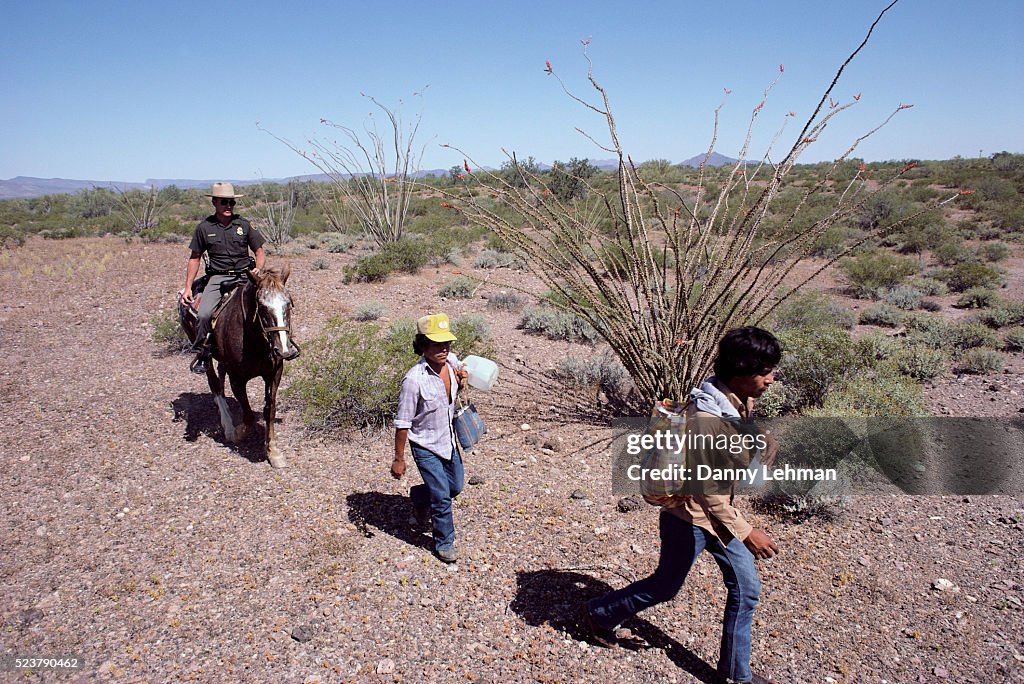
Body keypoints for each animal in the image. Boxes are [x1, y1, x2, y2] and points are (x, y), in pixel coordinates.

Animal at [180, 264, 299, 466]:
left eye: (288, 304)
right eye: (262, 307)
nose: (284, 350)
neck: (255, 339)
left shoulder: (274, 373)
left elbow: (269, 410)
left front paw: (273, 452)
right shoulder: (237, 378)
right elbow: (248, 415)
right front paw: (237, 433)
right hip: (204, 354)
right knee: (214, 383)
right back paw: (227, 425)